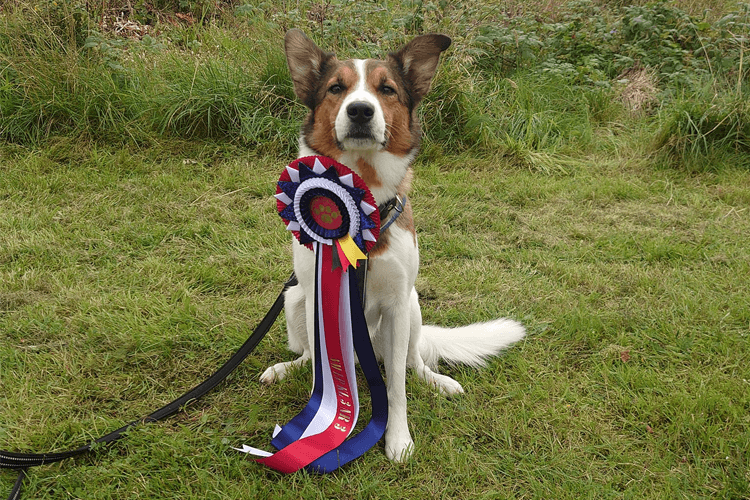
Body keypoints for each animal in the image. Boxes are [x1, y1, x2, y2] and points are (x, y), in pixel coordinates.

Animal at [262, 29, 524, 462]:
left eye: (386, 89)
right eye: (336, 88)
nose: (360, 111)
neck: (363, 200)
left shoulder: (399, 305)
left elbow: (397, 386)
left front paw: (397, 437)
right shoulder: (317, 295)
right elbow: (321, 373)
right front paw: (318, 424)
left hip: (412, 309)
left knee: (413, 361)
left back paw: (437, 380)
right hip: (295, 299)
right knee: (309, 356)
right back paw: (287, 368)